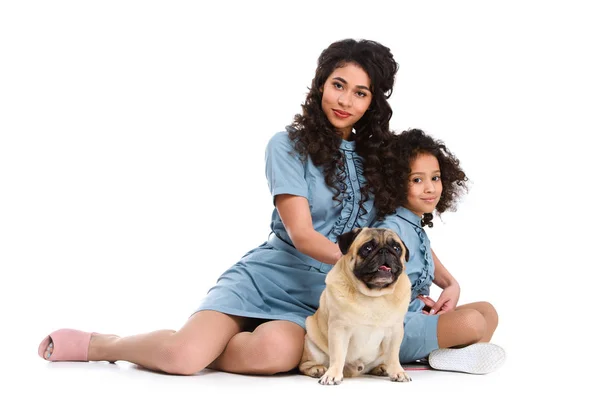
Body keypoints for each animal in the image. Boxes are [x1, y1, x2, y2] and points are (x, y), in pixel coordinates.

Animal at [300, 228, 412, 384]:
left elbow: (394, 355)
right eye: (367, 248)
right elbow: (338, 355)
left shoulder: (395, 332)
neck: (374, 294)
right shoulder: (339, 329)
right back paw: (318, 369)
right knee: (304, 365)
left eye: (396, 248)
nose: (384, 251)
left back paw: (382, 368)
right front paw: (332, 374)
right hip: (312, 346)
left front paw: (397, 372)